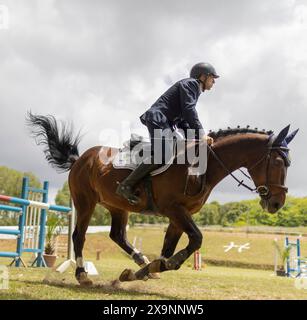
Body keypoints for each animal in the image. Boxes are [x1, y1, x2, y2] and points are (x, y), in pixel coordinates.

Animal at [26, 112, 298, 284]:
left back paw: (140, 260)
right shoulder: (174, 210)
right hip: (85, 202)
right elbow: (195, 240)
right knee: (79, 236)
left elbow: (168, 250)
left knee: (118, 236)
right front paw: (158, 267)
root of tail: (80, 158)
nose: (277, 203)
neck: (203, 166)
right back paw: (82, 275)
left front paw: (145, 270)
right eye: (277, 162)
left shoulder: (178, 215)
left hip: (117, 207)